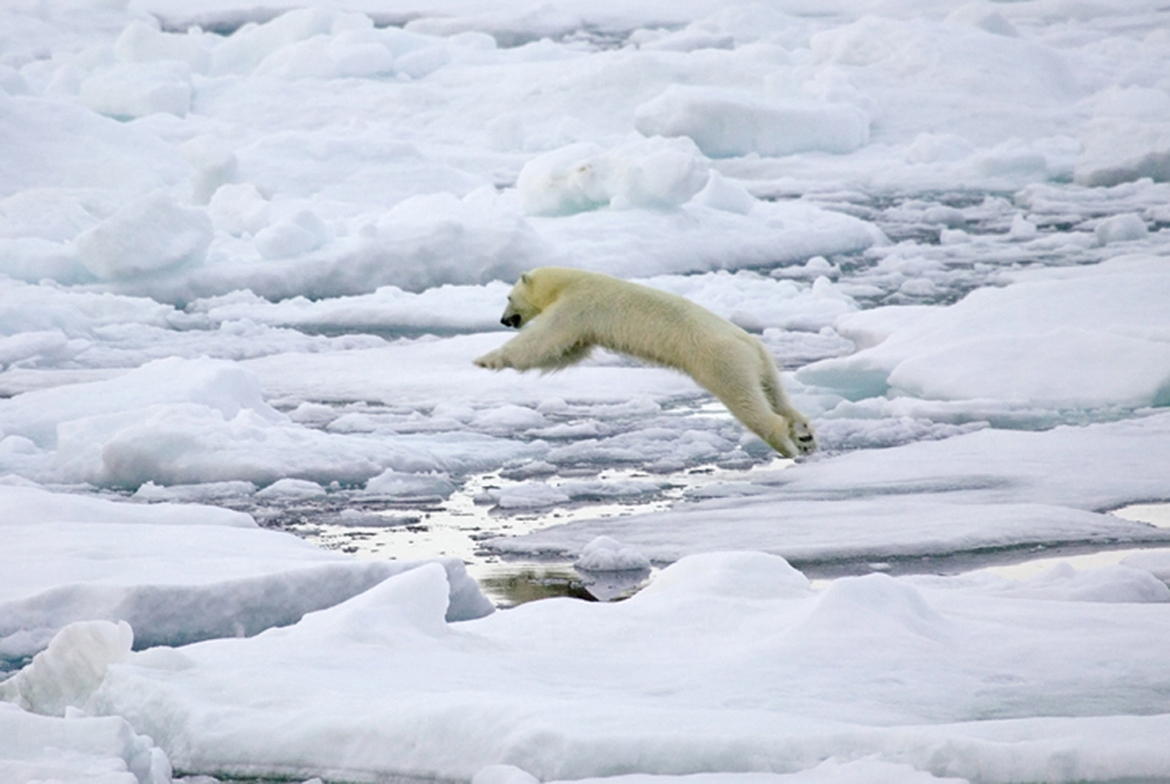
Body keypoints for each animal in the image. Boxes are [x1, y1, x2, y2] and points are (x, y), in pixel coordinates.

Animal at [473, 267, 815, 457]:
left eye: (508, 297)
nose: (503, 320)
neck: (570, 281)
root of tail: (748, 343)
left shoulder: (577, 306)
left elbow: (544, 340)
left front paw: (485, 359)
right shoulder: (583, 322)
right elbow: (566, 351)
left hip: (721, 361)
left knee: (748, 403)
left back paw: (786, 446)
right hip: (761, 362)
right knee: (776, 395)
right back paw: (804, 434)